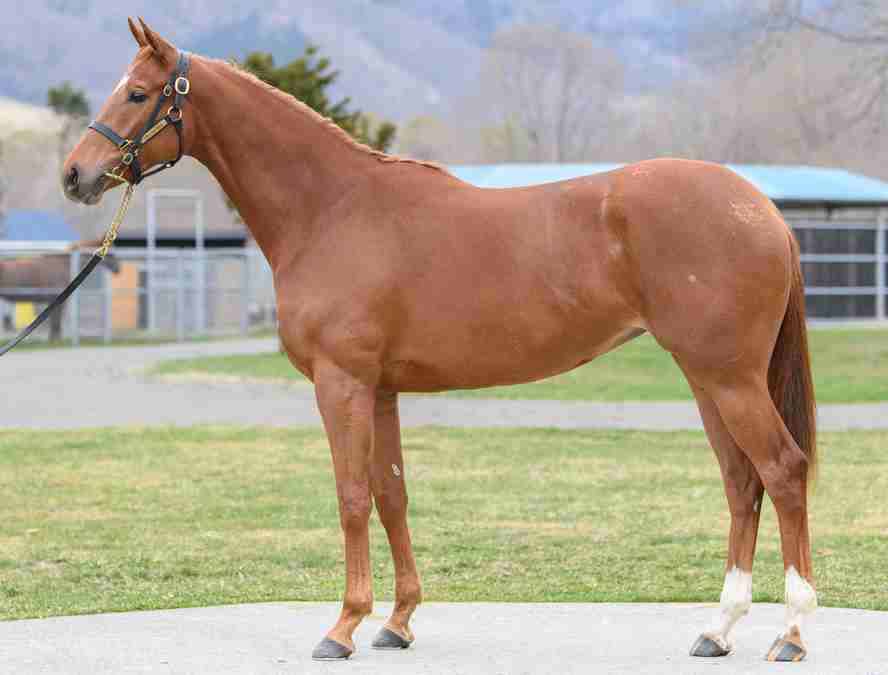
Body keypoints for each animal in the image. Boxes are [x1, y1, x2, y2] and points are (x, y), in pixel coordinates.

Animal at [61, 18, 818, 664]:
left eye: (136, 92)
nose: (75, 174)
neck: (331, 209)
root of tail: (762, 210)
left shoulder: (342, 383)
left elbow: (351, 496)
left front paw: (342, 626)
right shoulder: (383, 390)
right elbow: (392, 494)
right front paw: (396, 622)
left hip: (728, 378)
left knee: (782, 470)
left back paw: (792, 633)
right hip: (706, 378)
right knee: (741, 481)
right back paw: (718, 629)